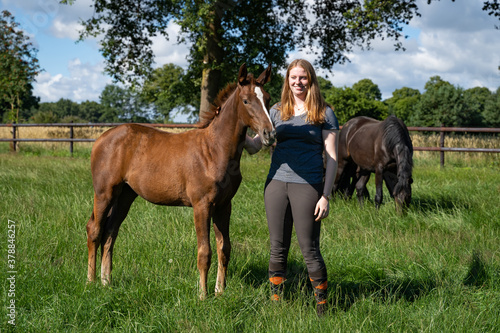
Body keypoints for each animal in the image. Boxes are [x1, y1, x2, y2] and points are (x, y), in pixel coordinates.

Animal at [85, 63, 274, 296]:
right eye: (246, 100)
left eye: (268, 98)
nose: (269, 134)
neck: (214, 150)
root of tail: (100, 139)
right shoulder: (202, 205)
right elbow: (204, 252)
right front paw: (202, 295)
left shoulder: (224, 205)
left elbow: (224, 248)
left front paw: (220, 292)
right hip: (105, 192)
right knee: (94, 230)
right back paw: (91, 282)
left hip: (125, 196)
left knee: (110, 232)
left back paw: (106, 281)